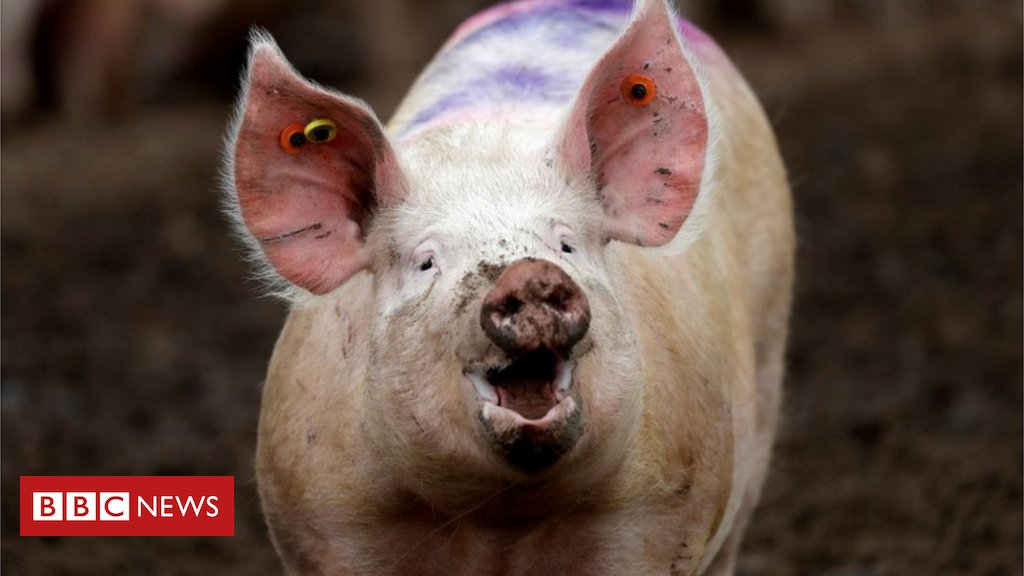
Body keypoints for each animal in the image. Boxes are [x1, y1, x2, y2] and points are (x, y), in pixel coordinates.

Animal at [223, 0, 793, 574]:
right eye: (426, 261)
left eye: (566, 245)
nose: (529, 273)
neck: (501, 520)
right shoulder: (326, 518)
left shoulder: (660, 511)